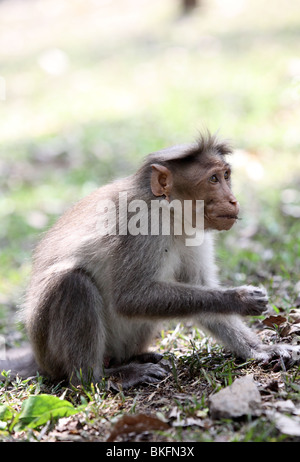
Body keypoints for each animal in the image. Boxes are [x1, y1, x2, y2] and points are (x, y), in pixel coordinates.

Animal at [1, 132, 298, 388]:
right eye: (213, 179)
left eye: (226, 175)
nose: (233, 200)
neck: (169, 211)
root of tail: (37, 358)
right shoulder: (142, 223)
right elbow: (130, 297)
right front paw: (239, 299)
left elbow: (201, 290)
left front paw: (260, 349)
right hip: (49, 350)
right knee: (73, 283)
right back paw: (101, 378)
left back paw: (133, 358)